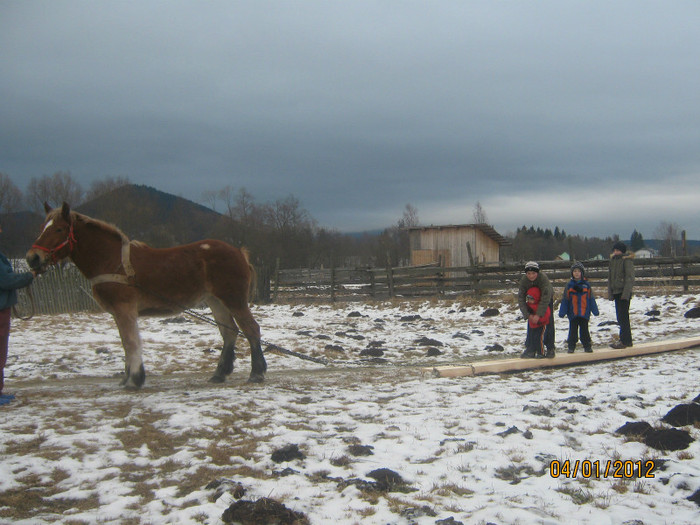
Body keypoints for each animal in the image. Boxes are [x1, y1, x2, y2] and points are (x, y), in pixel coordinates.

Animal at [26, 203, 266, 386]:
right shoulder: (119, 313)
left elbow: (131, 342)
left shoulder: (124, 309)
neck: (112, 261)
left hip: (234, 300)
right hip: (216, 301)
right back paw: (220, 373)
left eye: (59, 229)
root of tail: (239, 253)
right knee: (230, 333)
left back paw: (257, 373)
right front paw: (128, 378)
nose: (32, 258)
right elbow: (126, 343)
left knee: (251, 329)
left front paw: (134, 379)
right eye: (42, 227)